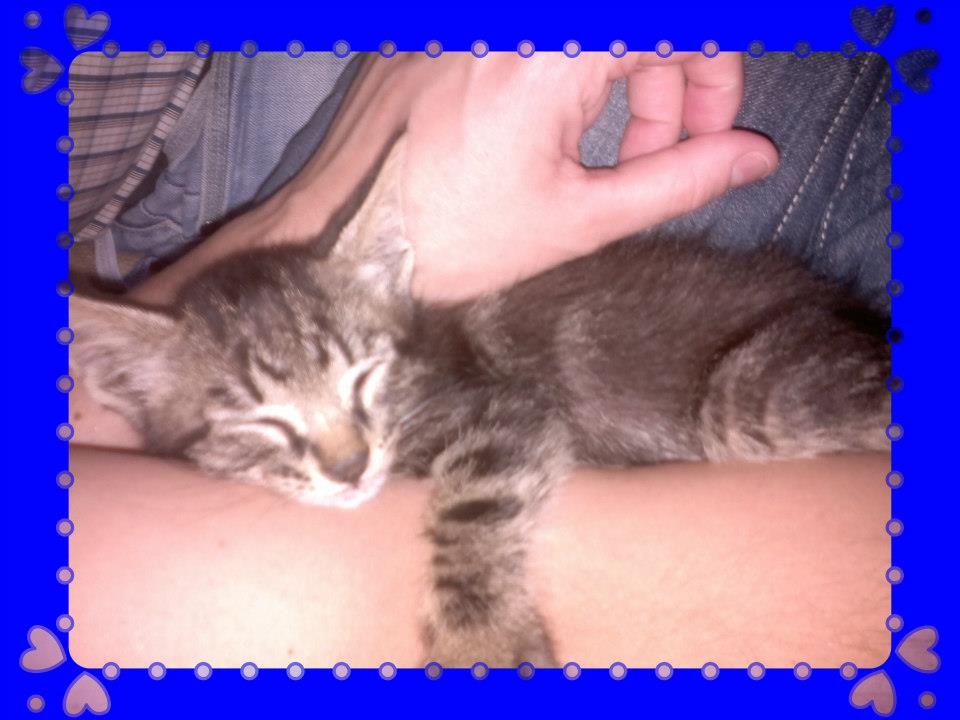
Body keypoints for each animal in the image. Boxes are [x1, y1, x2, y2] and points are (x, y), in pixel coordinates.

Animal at [71, 136, 890, 667]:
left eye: (364, 375)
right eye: (260, 419)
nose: (349, 466)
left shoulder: (507, 407)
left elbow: (468, 503)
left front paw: (482, 645)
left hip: (747, 393)